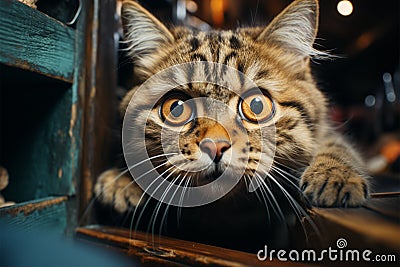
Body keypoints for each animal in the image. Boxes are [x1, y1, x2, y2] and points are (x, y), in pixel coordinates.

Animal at [94, 0, 368, 251]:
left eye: (256, 105)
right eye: (176, 108)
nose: (215, 146)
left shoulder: (328, 133)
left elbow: (337, 147)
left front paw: (336, 176)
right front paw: (122, 181)